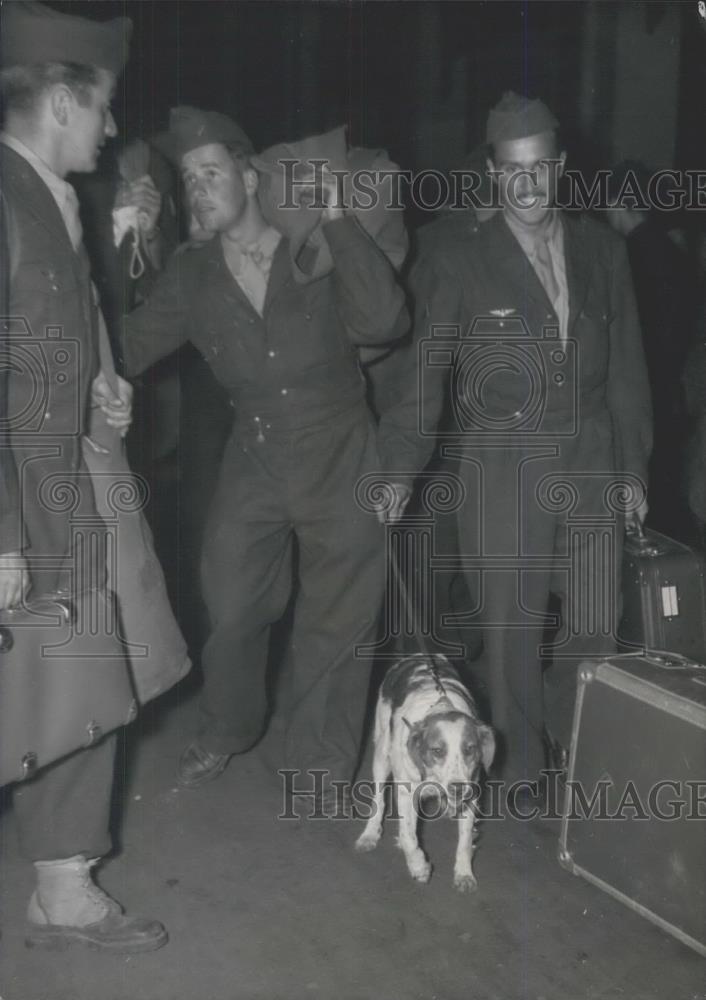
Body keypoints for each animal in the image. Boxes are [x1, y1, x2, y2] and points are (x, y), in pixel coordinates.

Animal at [354, 656, 492, 892]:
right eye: (437, 751)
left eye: (470, 749)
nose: (458, 788)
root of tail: (415, 656)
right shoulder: (406, 791)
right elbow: (408, 835)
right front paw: (419, 866)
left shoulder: (471, 795)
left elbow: (465, 842)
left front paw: (464, 873)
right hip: (382, 753)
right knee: (379, 799)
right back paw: (370, 834)